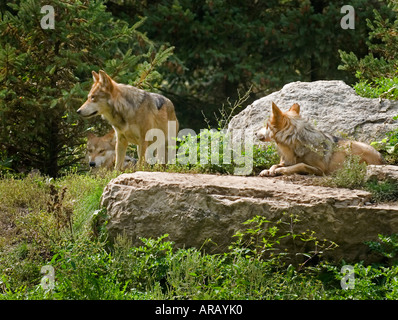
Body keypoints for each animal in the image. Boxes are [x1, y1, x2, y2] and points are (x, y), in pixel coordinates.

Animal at [256, 102, 384, 176]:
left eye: (266, 125)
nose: (255, 133)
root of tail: (381, 157)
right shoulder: (285, 161)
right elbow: (275, 165)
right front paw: (268, 170)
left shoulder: (320, 169)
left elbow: (300, 165)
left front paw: (281, 171)